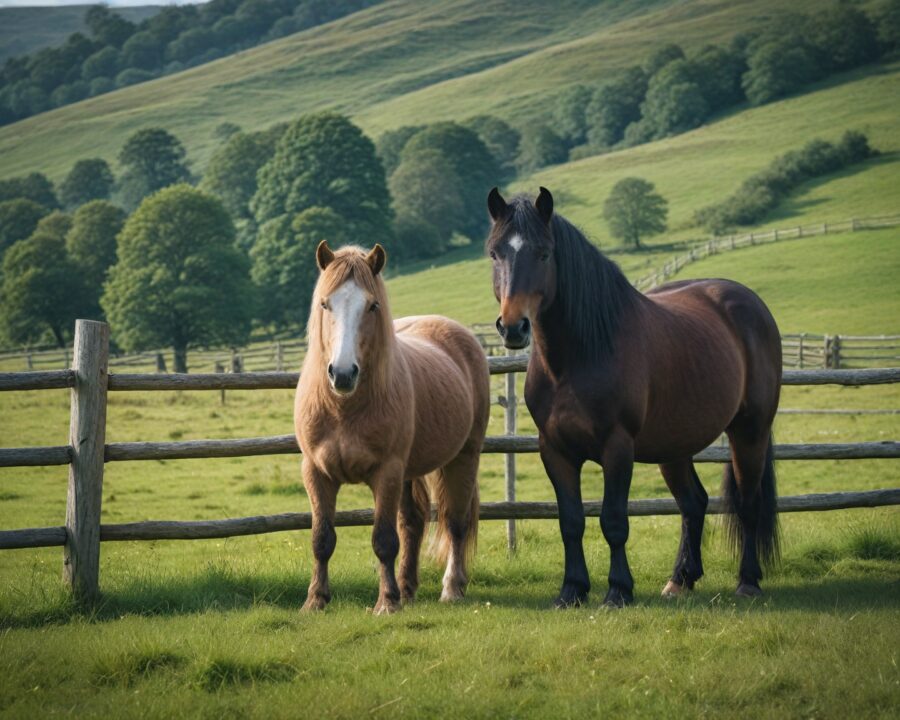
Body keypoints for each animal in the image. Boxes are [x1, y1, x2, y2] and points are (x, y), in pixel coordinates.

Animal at [294, 241, 490, 614]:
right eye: (325, 303)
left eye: (372, 305)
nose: (343, 374)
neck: (343, 409)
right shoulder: (316, 472)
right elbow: (321, 539)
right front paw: (315, 600)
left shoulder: (386, 472)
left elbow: (384, 539)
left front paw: (386, 603)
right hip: (410, 472)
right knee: (413, 523)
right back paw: (407, 588)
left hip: (464, 456)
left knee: (455, 522)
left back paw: (451, 587)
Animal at [485, 187, 782, 607]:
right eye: (496, 253)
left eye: (543, 253)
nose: (513, 327)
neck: (577, 357)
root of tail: (749, 303)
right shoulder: (555, 450)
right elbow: (570, 521)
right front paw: (571, 590)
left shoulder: (617, 446)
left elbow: (613, 519)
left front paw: (618, 590)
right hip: (674, 445)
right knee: (693, 503)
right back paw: (680, 579)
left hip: (750, 431)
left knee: (748, 503)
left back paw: (748, 581)